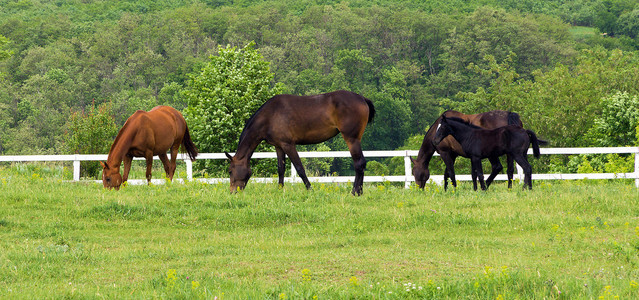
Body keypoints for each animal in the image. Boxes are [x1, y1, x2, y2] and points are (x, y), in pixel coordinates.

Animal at [225, 90, 376, 196]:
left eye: (230, 171)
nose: (233, 192)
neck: (270, 115)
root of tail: (362, 99)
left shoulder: (288, 145)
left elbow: (300, 168)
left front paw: (310, 190)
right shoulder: (279, 146)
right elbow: (281, 169)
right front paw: (280, 190)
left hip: (351, 139)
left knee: (359, 163)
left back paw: (355, 192)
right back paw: (359, 192)